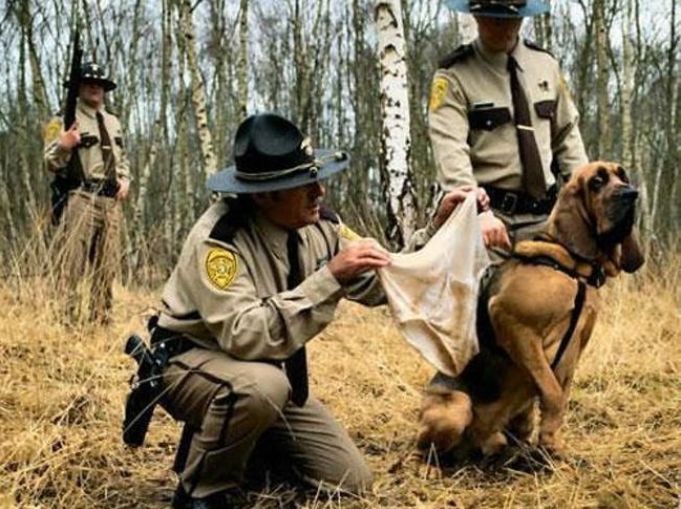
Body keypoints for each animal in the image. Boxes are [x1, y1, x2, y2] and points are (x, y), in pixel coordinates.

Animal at [418, 162, 644, 456]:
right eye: (597, 181)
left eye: (622, 175)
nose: (632, 193)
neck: (573, 271)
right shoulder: (512, 322)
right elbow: (553, 393)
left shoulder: (574, 350)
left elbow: (561, 393)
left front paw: (551, 446)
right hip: (456, 408)